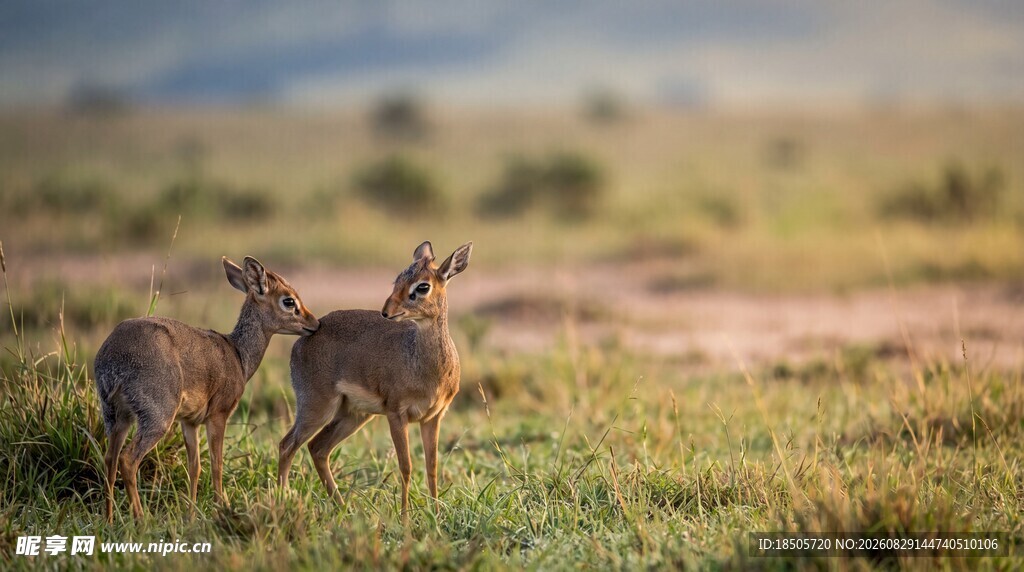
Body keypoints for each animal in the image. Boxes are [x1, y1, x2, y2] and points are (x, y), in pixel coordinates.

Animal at [94, 256, 319, 522]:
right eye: (288, 300)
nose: (315, 323)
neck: (238, 354)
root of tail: (112, 355)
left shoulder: (189, 422)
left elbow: (195, 467)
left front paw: (191, 514)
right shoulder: (218, 415)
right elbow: (216, 463)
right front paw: (221, 507)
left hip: (117, 416)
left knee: (110, 459)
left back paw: (109, 519)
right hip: (157, 417)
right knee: (128, 460)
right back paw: (141, 519)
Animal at [278, 241, 472, 514]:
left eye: (423, 286)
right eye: (397, 280)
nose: (386, 312)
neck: (423, 365)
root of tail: (303, 340)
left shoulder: (432, 417)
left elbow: (432, 467)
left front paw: (435, 512)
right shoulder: (396, 414)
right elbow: (406, 467)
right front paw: (404, 516)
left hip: (353, 415)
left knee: (317, 448)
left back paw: (343, 507)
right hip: (317, 409)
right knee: (287, 445)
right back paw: (283, 500)